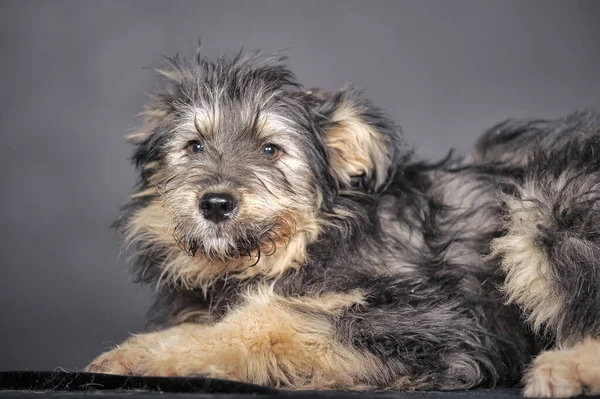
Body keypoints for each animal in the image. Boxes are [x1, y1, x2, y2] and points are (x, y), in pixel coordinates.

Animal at [85, 50, 600, 396]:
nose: (214, 203)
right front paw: (142, 350)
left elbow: (272, 319)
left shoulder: (433, 321)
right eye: (194, 146)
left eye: (271, 149)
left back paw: (566, 369)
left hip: (549, 203)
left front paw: (158, 356)